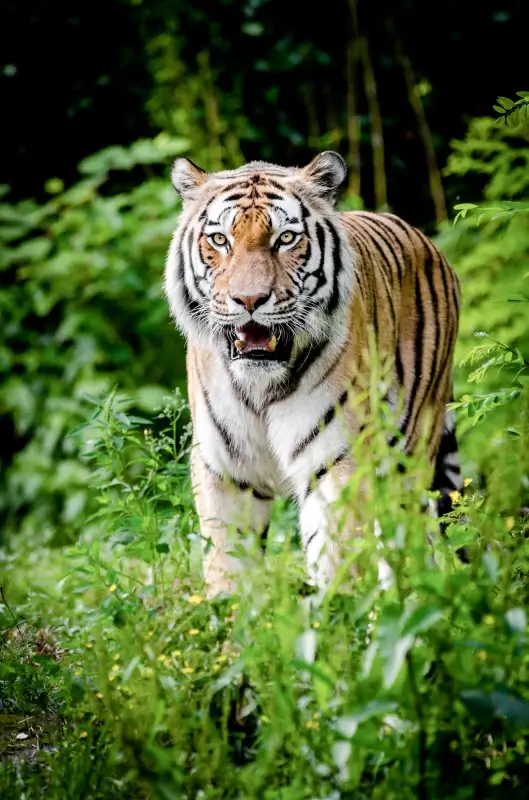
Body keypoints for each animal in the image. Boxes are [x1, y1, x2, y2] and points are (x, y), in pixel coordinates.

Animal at [164, 151, 462, 596]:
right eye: (219, 240)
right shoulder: (226, 470)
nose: (249, 300)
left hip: (410, 453)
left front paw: (338, 611)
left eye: (286, 238)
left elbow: (338, 557)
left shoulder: (335, 461)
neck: (260, 385)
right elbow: (227, 567)